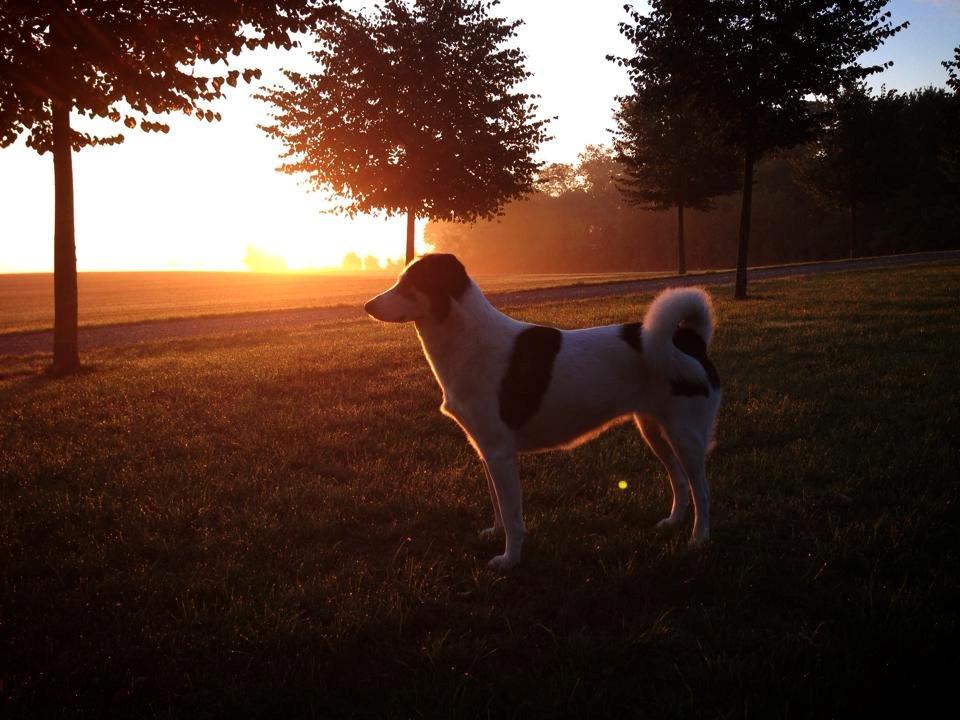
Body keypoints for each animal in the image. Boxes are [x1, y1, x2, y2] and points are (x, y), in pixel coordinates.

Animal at [366, 253, 720, 568]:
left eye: (410, 284)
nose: (367, 306)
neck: (470, 343)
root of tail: (689, 339)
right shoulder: (485, 449)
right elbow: (497, 504)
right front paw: (495, 534)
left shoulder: (500, 453)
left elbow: (512, 514)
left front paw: (510, 560)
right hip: (653, 430)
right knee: (679, 480)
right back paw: (673, 524)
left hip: (685, 435)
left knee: (702, 491)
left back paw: (698, 540)